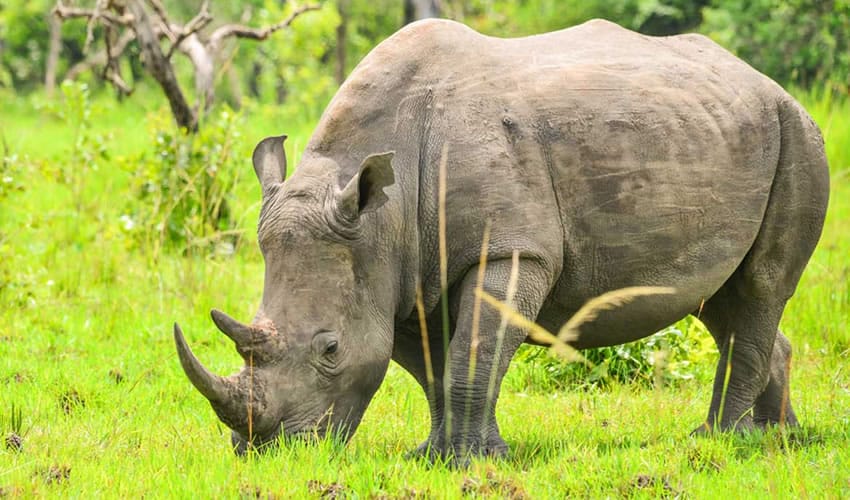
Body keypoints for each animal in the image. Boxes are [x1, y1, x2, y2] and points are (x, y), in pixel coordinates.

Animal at [173, 18, 829, 459]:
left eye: (330, 349)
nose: (265, 451)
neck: (379, 215)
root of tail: (768, 82)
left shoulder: (512, 248)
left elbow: (475, 350)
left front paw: (471, 460)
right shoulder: (398, 274)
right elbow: (434, 367)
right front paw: (439, 456)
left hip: (797, 131)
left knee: (761, 285)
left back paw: (721, 440)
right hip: (725, 129)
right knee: (720, 299)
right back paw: (777, 437)